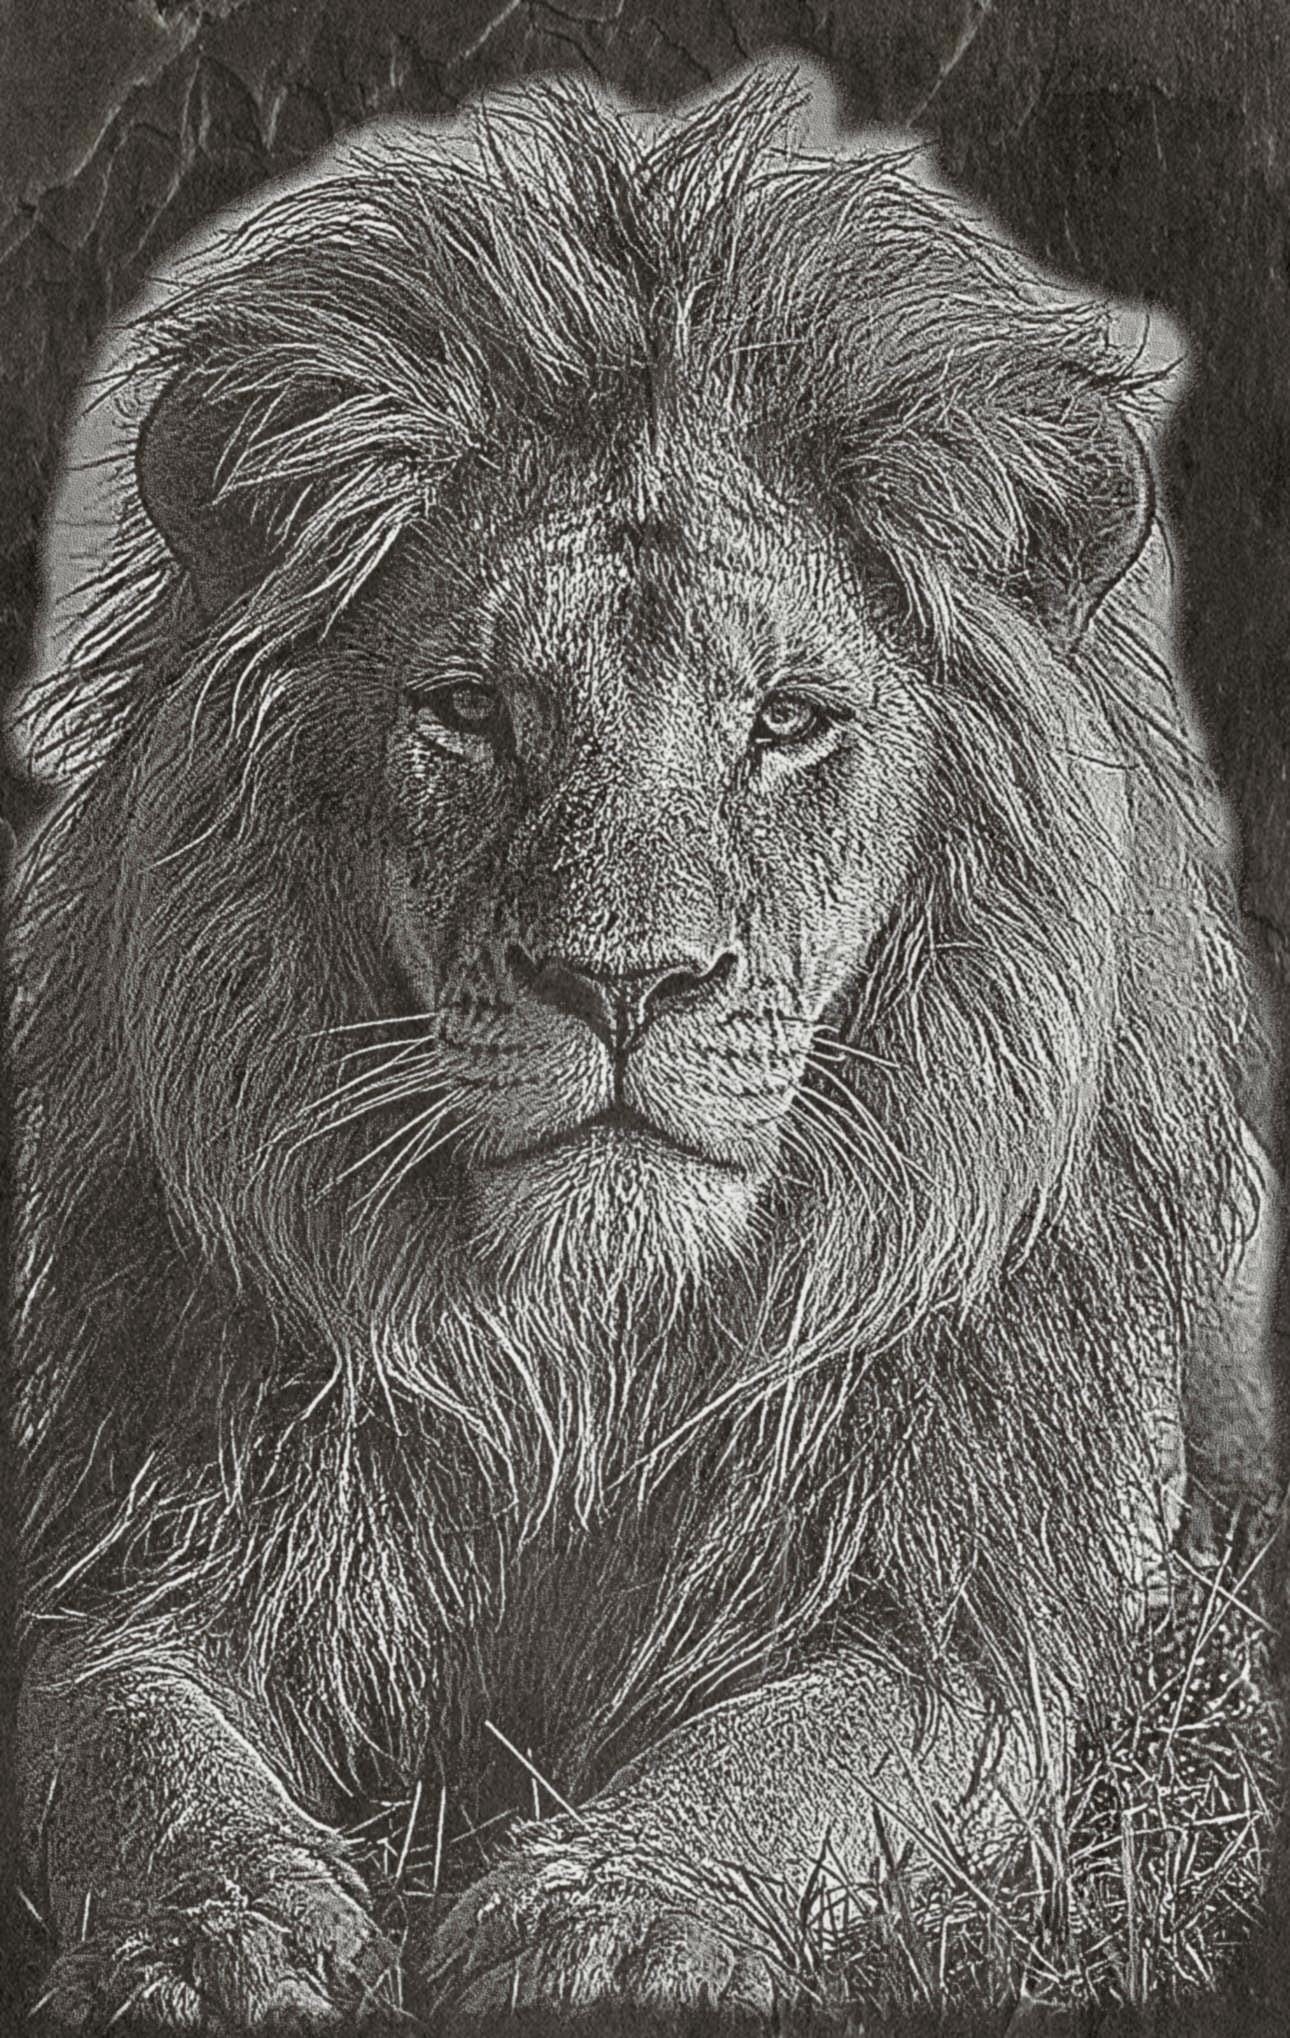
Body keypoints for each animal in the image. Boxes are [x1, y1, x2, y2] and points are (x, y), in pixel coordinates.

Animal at [11, 64, 1281, 2030]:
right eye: (467, 712)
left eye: (790, 721)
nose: (624, 984)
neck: (583, 1359)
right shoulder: (141, 1538)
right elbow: (124, 1734)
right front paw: (221, 1928)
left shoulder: (954, 1617)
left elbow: (793, 1753)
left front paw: (616, 1917)